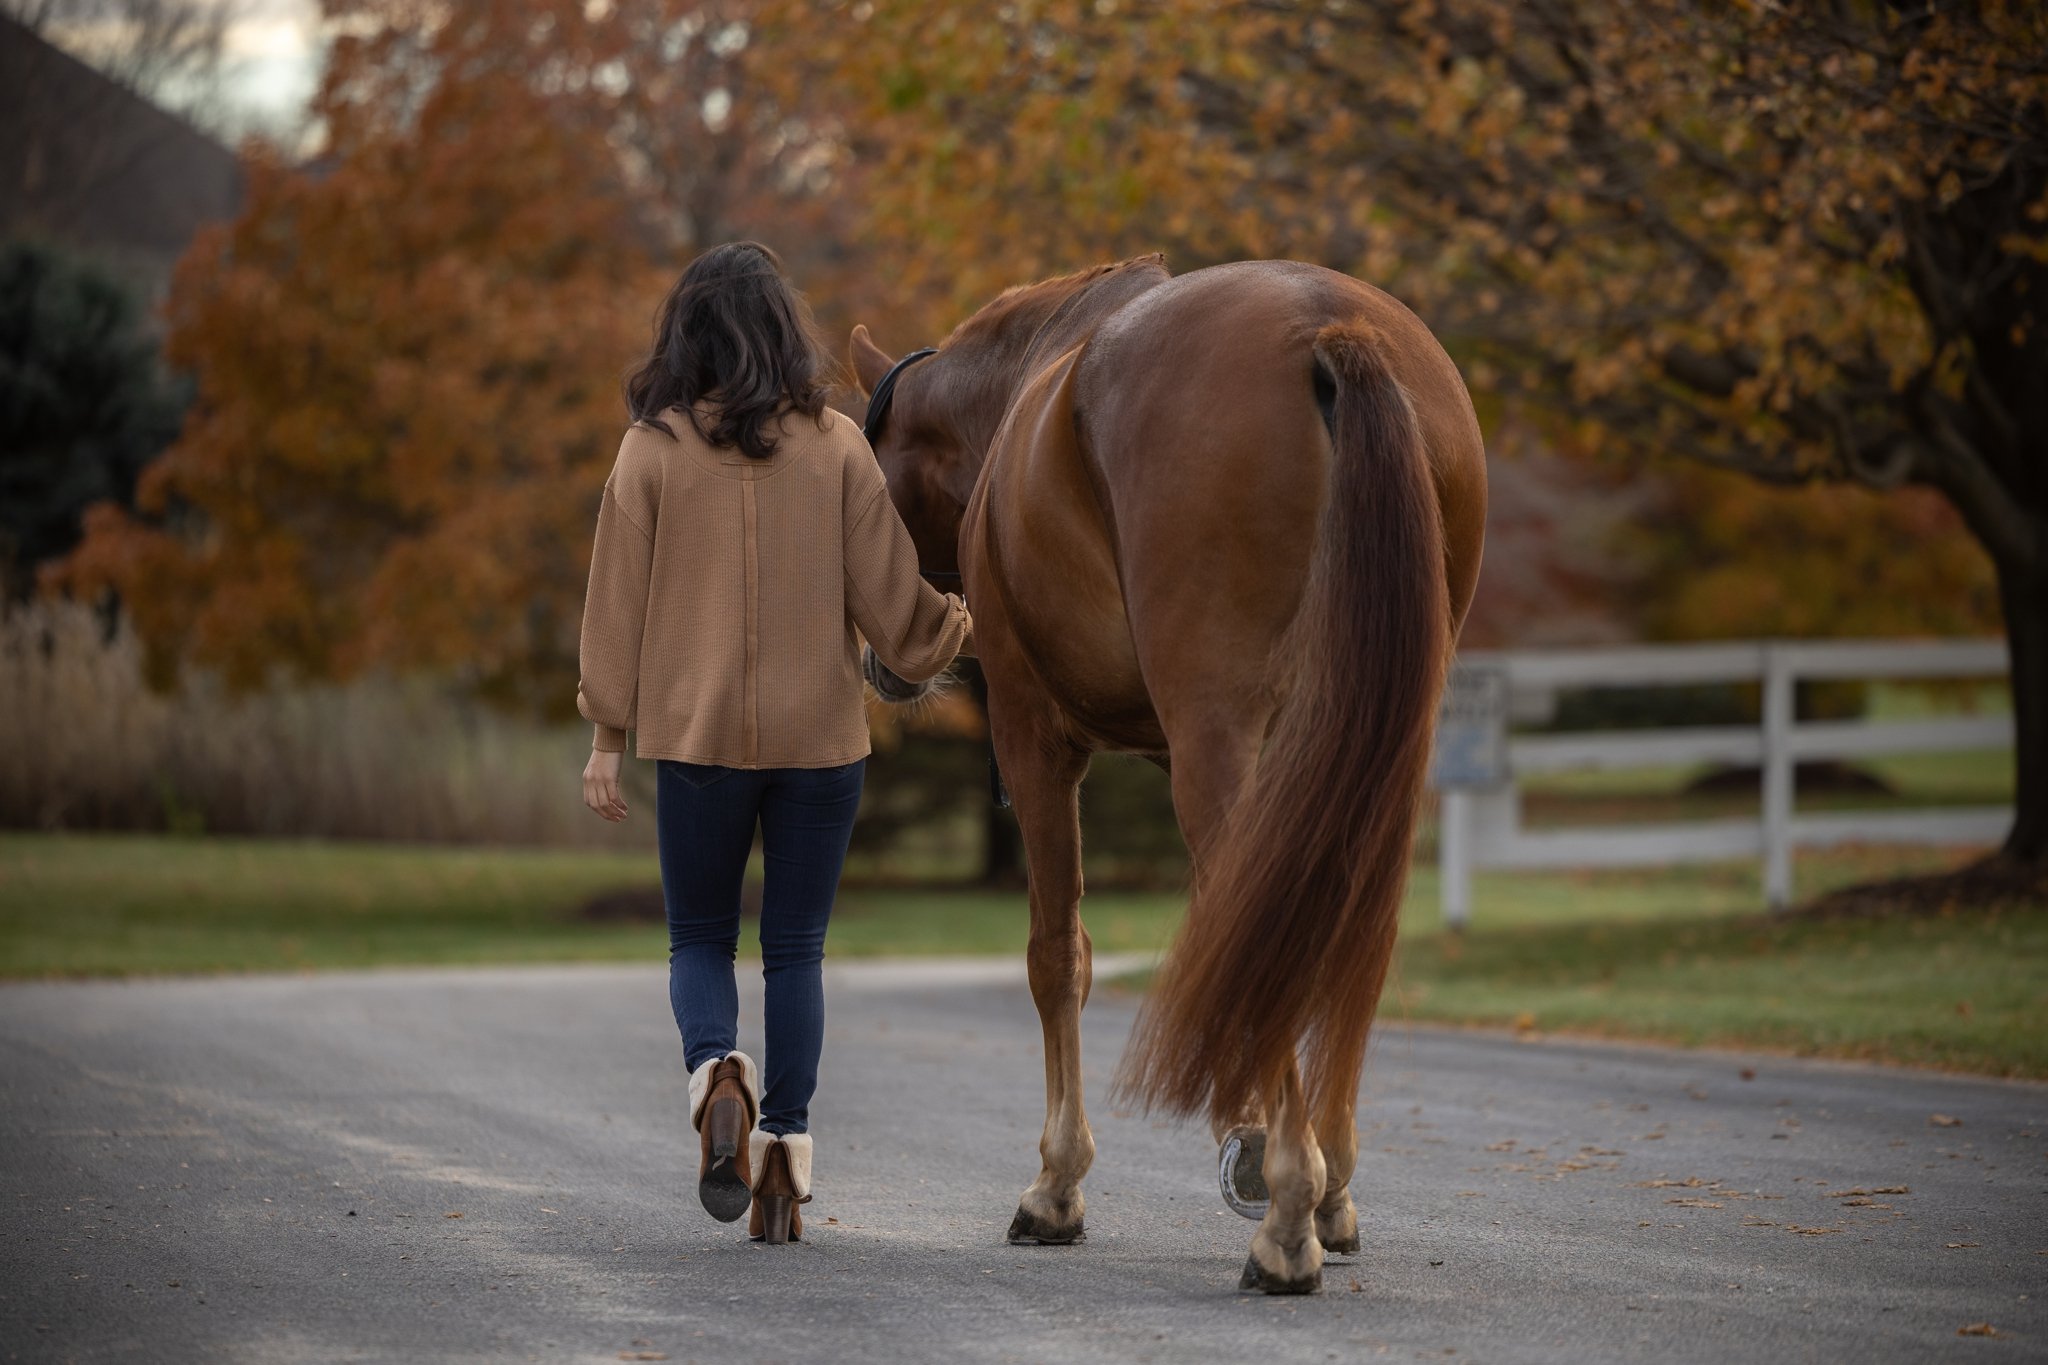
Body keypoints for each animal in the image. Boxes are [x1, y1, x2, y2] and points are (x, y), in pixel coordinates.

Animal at [852, 255, 1486, 1293]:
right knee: (1338, 933)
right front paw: (1252, 1128)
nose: (886, 657)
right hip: (1368, 750)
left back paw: (1289, 1216)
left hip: (1219, 744)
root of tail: (1328, 326)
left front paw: (1059, 1183)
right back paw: (1329, 1187)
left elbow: (1059, 954)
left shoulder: (1036, 739)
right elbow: (1229, 943)